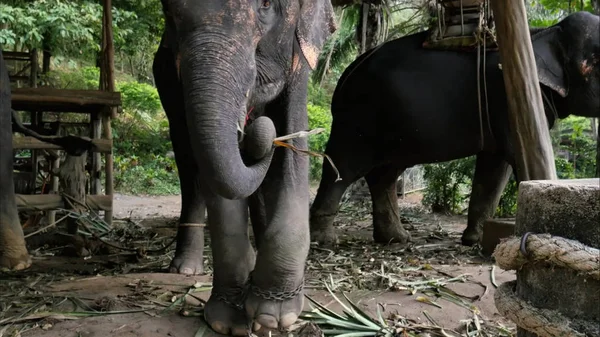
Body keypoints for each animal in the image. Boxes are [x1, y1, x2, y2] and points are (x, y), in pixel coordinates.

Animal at [151, 0, 338, 334]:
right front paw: (227, 321)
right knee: (189, 165)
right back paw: (186, 269)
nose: (253, 129)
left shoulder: (299, 62)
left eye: (266, 5)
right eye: (168, 12)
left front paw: (274, 315)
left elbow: (292, 149)